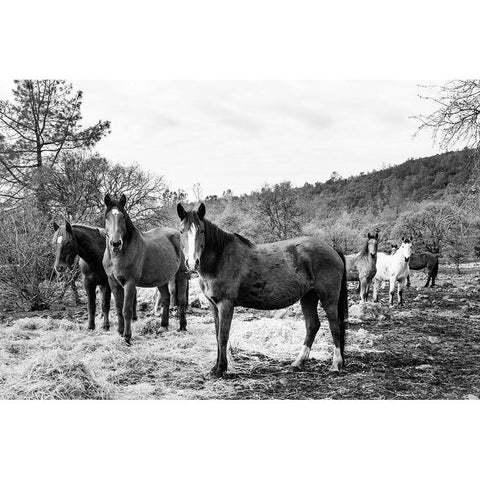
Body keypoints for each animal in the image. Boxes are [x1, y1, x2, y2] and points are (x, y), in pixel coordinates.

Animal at [102, 193, 188, 344]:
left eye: (122, 217)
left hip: (181, 274)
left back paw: (182, 326)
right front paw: (120, 332)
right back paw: (163, 326)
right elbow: (118, 308)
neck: (119, 255)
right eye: (107, 217)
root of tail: (177, 233)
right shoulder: (113, 282)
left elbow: (126, 310)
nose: (116, 243)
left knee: (181, 299)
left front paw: (127, 337)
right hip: (161, 279)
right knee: (165, 299)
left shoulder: (129, 283)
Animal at [178, 202, 346, 378]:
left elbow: (223, 336)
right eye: (181, 231)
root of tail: (332, 249)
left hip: (328, 298)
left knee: (335, 326)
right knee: (312, 326)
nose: (192, 263)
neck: (220, 259)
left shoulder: (225, 305)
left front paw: (221, 369)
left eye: (202, 230)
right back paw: (298, 363)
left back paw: (335, 365)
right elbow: (217, 336)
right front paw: (215, 367)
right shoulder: (213, 305)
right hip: (308, 297)